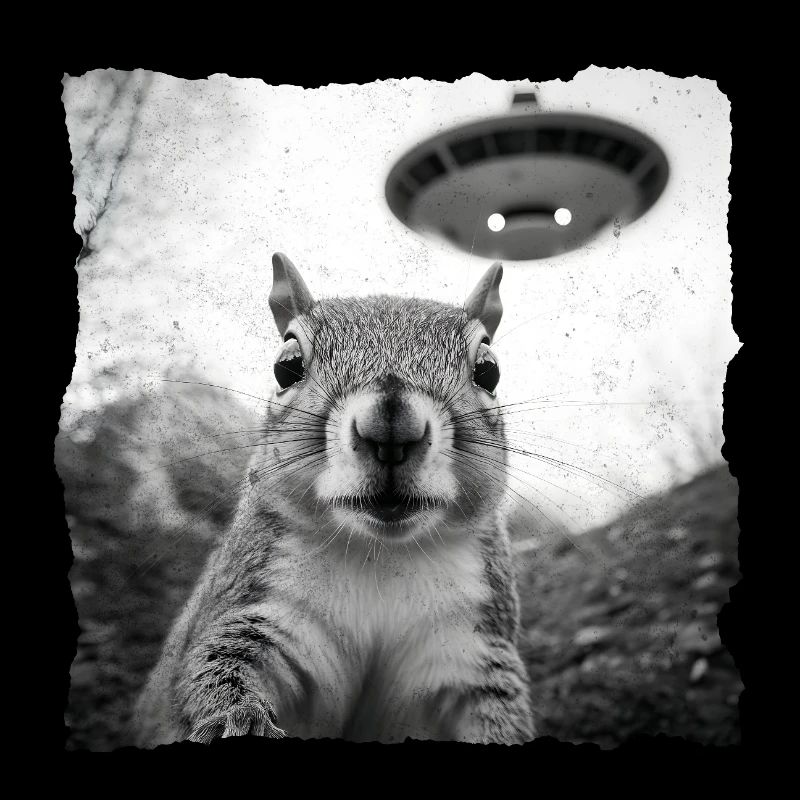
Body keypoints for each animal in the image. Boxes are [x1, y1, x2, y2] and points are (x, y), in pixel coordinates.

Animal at [132, 252, 535, 746]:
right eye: (286, 366)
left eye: (488, 370)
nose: (391, 427)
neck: (382, 555)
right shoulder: (260, 609)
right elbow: (217, 668)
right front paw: (239, 721)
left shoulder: (470, 650)